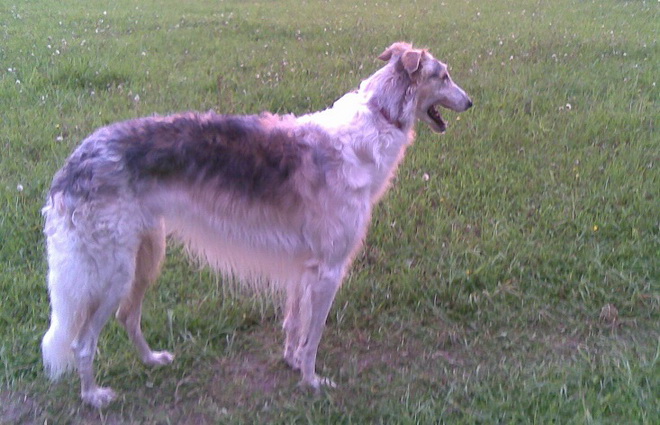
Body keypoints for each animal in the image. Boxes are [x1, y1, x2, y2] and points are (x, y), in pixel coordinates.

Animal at [41, 42, 472, 407]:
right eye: (444, 76)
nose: (470, 102)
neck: (374, 122)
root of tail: (75, 161)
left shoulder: (303, 266)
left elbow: (295, 325)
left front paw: (292, 363)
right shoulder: (330, 269)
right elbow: (313, 336)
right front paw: (312, 381)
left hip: (147, 256)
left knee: (128, 316)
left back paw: (152, 360)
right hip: (112, 272)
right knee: (82, 341)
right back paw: (93, 396)